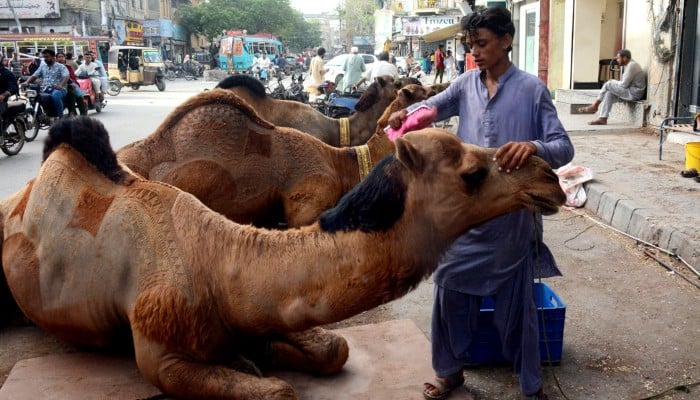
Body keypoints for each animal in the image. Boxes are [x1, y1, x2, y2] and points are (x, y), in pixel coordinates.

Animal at [0, 117, 565, 400]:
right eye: (472, 172)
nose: (550, 179)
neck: (217, 263)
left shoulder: (259, 309)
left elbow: (335, 346)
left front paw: (256, 355)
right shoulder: (161, 346)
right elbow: (278, 393)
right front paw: (254, 366)